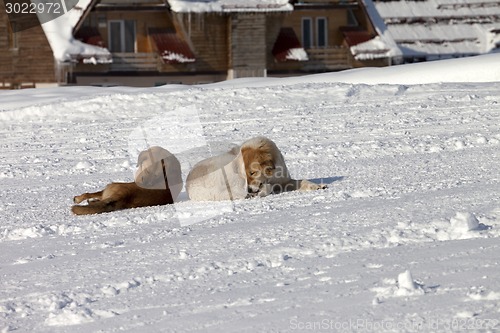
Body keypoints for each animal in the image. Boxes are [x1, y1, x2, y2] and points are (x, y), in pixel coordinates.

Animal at [186, 136, 326, 201]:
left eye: (252, 173)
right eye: (245, 174)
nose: (249, 189)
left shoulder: (284, 181)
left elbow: (302, 182)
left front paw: (317, 186)